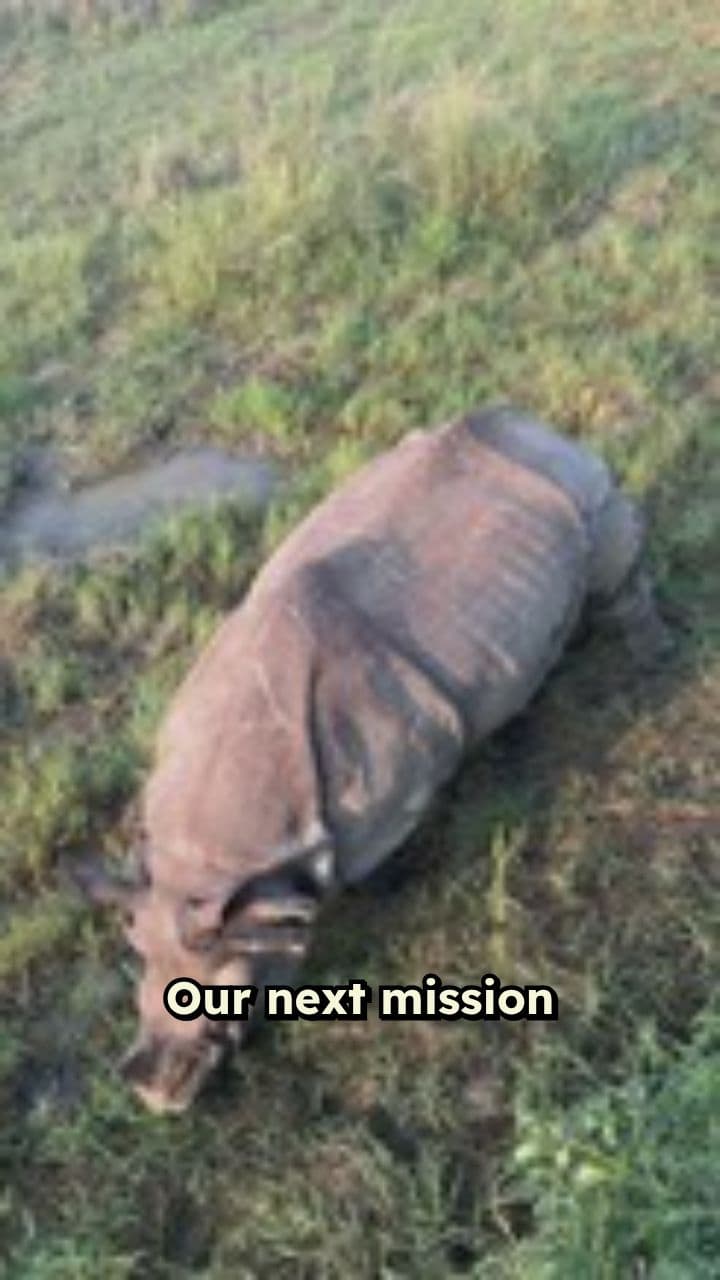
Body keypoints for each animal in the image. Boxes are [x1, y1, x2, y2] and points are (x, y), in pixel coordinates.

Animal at [78, 405, 671, 1113]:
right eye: (137, 963)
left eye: (225, 998)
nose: (151, 1092)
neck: (219, 863)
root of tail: (541, 426)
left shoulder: (389, 797)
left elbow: (374, 862)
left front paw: (385, 892)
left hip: (584, 487)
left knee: (612, 550)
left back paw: (647, 657)